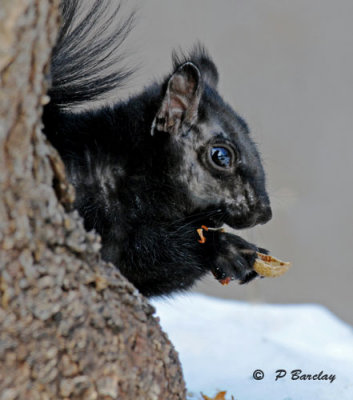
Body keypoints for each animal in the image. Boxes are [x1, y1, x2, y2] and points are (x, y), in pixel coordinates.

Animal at [42, 0, 270, 296]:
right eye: (221, 156)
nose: (264, 213)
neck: (132, 166)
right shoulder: (100, 216)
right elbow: (145, 255)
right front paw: (227, 249)